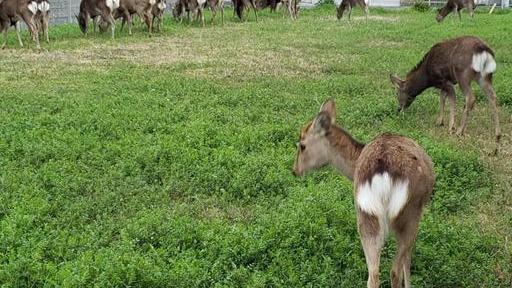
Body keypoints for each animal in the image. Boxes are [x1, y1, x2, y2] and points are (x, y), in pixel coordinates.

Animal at [294, 98, 434, 288]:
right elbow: (407, 261)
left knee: (373, 273)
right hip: (410, 212)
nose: (295, 170)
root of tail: (382, 172)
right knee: (394, 270)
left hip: (365, 214)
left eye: (302, 145)